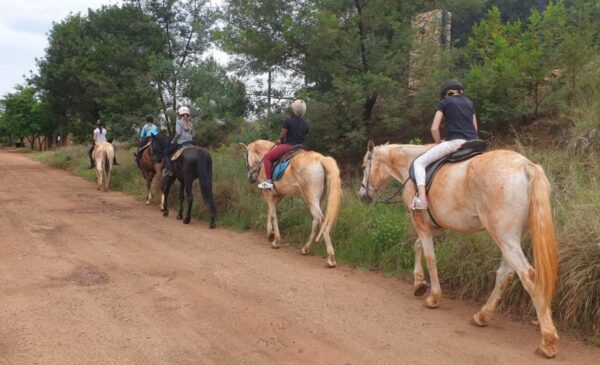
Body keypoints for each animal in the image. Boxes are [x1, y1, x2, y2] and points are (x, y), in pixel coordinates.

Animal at [239, 139, 342, 268]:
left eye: (245, 157)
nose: (251, 178)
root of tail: (321, 159)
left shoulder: (268, 194)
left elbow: (273, 214)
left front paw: (276, 240)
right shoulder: (278, 196)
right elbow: (270, 211)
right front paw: (270, 233)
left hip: (311, 198)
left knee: (321, 220)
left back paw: (330, 258)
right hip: (318, 199)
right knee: (316, 221)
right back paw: (305, 248)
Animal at [358, 141, 560, 356]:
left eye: (364, 167)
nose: (362, 196)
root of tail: (525, 165)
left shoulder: (420, 222)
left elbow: (430, 257)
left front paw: (433, 297)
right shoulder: (434, 226)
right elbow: (417, 246)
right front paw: (419, 283)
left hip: (505, 238)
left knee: (528, 276)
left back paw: (548, 340)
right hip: (510, 240)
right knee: (505, 275)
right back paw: (482, 316)